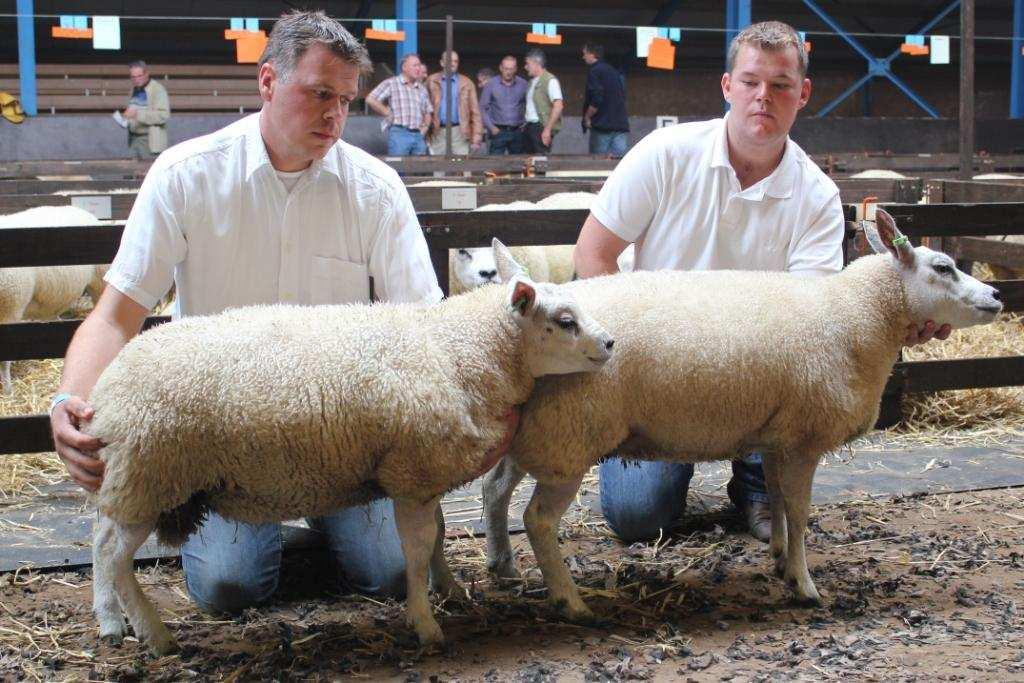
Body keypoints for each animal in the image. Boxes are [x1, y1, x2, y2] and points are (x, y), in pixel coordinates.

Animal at [86, 240, 614, 651]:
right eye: (565, 320)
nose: (610, 343)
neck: (457, 349)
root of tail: (107, 387)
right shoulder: (414, 470)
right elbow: (415, 550)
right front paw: (425, 624)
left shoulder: (420, 472)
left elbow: (438, 535)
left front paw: (448, 589)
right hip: (149, 473)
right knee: (112, 554)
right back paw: (152, 634)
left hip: (140, 479)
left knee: (102, 540)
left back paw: (114, 621)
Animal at [479, 210, 999, 622]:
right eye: (943, 267)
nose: (996, 296)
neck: (856, 318)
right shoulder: (805, 438)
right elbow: (801, 512)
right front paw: (805, 585)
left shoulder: (779, 437)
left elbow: (779, 500)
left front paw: (781, 559)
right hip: (571, 431)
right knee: (538, 519)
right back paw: (570, 602)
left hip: (537, 427)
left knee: (496, 487)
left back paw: (501, 564)